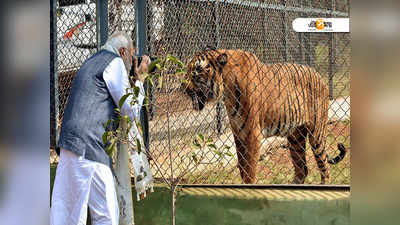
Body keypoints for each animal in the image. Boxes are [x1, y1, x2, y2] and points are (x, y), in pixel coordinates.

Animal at [183, 48, 346, 184]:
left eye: (196, 71)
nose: (182, 88)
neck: (226, 92)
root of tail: (319, 76)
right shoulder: (238, 134)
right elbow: (242, 167)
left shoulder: (252, 135)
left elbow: (249, 171)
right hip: (295, 137)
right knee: (302, 169)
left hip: (316, 132)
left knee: (324, 168)